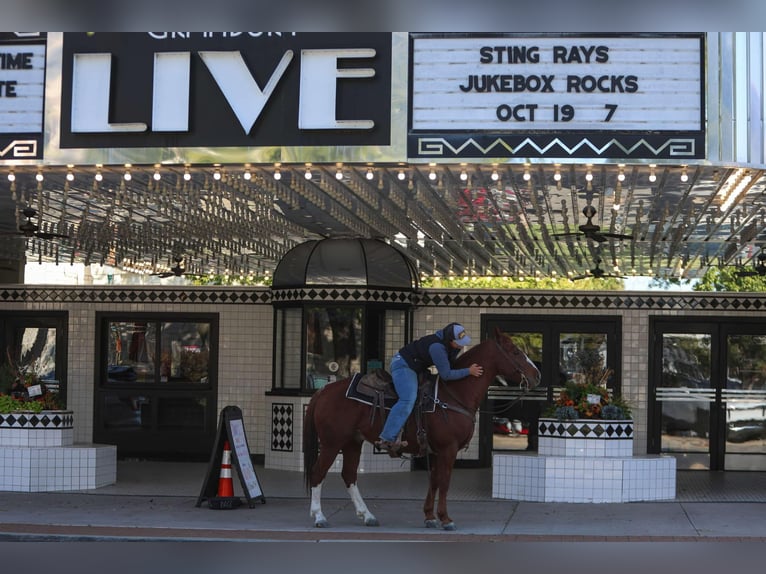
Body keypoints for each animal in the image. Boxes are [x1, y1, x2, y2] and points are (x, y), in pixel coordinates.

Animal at [304, 328, 544, 532]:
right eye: (515, 351)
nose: (537, 375)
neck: (453, 394)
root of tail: (323, 390)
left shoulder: (436, 450)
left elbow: (435, 481)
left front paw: (429, 517)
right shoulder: (448, 449)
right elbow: (444, 482)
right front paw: (446, 519)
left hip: (353, 442)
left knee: (349, 475)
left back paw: (367, 516)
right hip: (332, 443)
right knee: (318, 472)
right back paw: (319, 517)